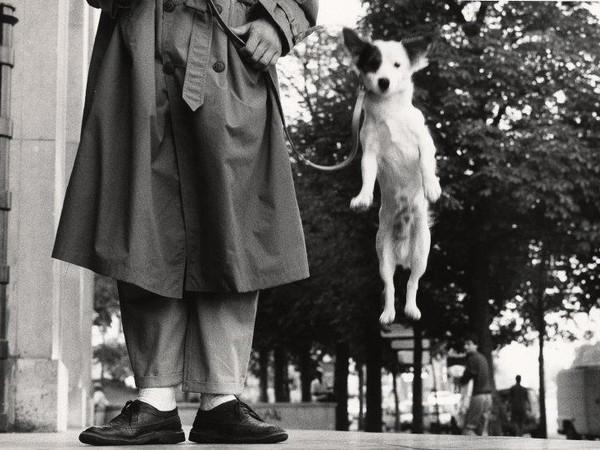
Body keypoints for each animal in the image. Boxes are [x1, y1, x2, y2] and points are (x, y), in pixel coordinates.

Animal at [342, 27, 440, 324]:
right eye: (373, 64)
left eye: (397, 65)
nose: (383, 81)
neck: (390, 114)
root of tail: (403, 254)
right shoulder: (370, 152)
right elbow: (367, 176)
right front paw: (362, 198)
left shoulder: (424, 142)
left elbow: (427, 164)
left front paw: (432, 187)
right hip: (383, 257)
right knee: (390, 285)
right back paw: (389, 313)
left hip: (422, 254)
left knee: (412, 282)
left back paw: (411, 309)